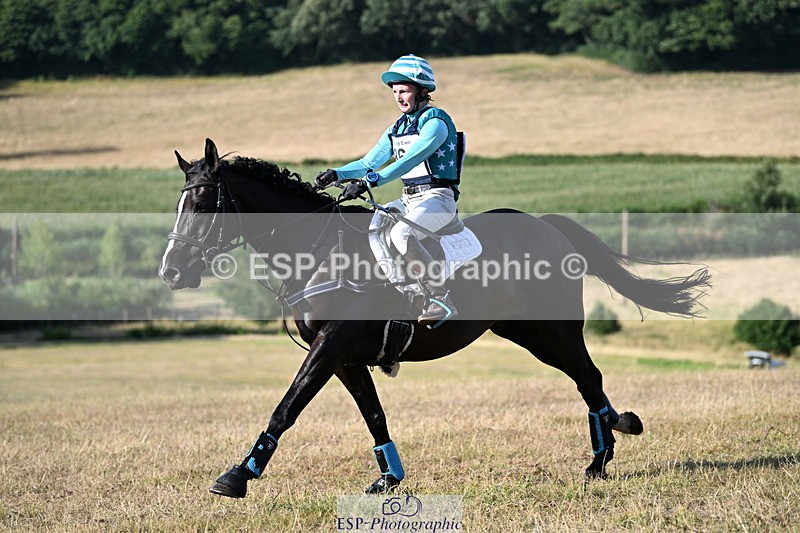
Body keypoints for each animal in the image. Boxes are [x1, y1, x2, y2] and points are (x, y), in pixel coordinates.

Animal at [159, 139, 710, 498]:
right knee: (584, 380)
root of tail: (545, 225)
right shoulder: (345, 357)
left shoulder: (329, 347)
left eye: (205, 203)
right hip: (527, 335)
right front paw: (389, 478)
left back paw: (603, 453)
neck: (316, 250)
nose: (171, 271)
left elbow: (287, 407)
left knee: (588, 376)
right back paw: (613, 436)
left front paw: (238, 476)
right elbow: (373, 413)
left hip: (555, 331)